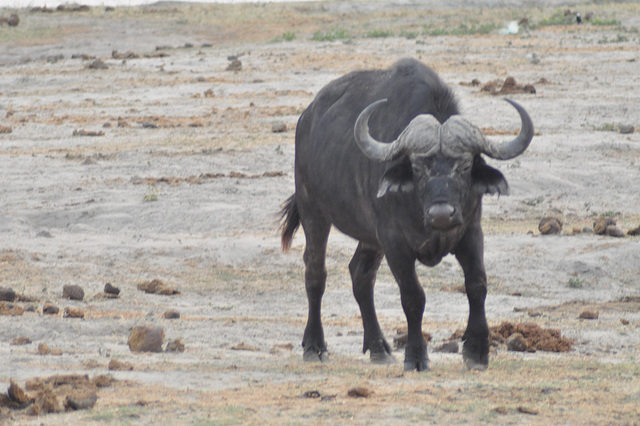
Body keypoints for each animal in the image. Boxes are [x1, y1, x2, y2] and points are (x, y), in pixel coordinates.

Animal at [280, 58, 536, 372]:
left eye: (464, 166)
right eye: (417, 167)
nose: (442, 214)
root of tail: (306, 119)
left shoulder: (471, 232)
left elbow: (477, 285)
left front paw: (476, 351)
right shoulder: (395, 243)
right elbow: (413, 297)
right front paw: (416, 356)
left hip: (369, 236)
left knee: (360, 274)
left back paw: (378, 347)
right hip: (313, 210)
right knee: (316, 272)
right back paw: (315, 346)